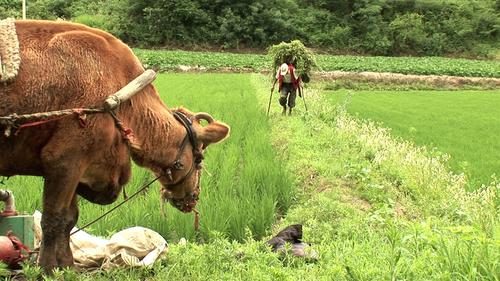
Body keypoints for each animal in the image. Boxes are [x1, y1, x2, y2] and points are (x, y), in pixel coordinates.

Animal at [0, 20, 230, 272]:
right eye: (199, 159)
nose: (193, 197)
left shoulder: (81, 166)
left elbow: (70, 220)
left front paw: (68, 265)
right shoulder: (63, 160)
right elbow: (54, 218)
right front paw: (48, 268)